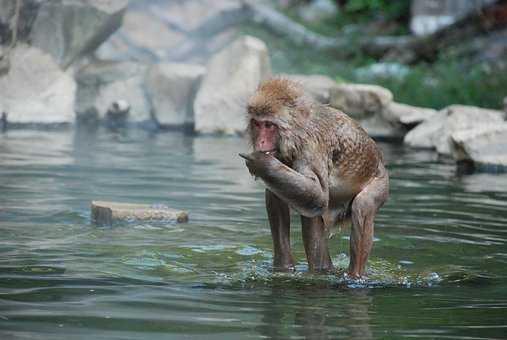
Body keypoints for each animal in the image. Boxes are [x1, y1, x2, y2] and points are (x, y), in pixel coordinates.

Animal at [240, 78, 390, 278]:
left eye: (269, 125)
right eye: (257, 124)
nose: (260, 142)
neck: (296, 134)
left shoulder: (312, 146)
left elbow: (317, 194)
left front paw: (261, 163)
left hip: (381, 182)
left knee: (362, 206)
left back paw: (353, 276)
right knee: (288, 199)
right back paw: (307, 269)